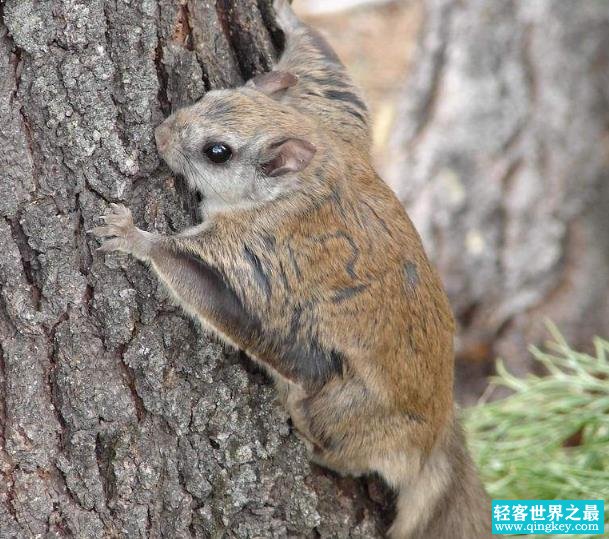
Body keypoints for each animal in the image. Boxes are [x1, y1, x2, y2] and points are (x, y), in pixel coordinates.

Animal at [94, 2, 494, 536]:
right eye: (211, 94)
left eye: (217, 152)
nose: (159, 134)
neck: (307, 176)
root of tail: (435, 435)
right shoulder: (335, 117)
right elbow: (329, 71)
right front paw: (288, 16)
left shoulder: (258, 250)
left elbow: (205, 284)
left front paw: (134, 236)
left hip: (342, 406)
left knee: (348, 451)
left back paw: (314, 444)